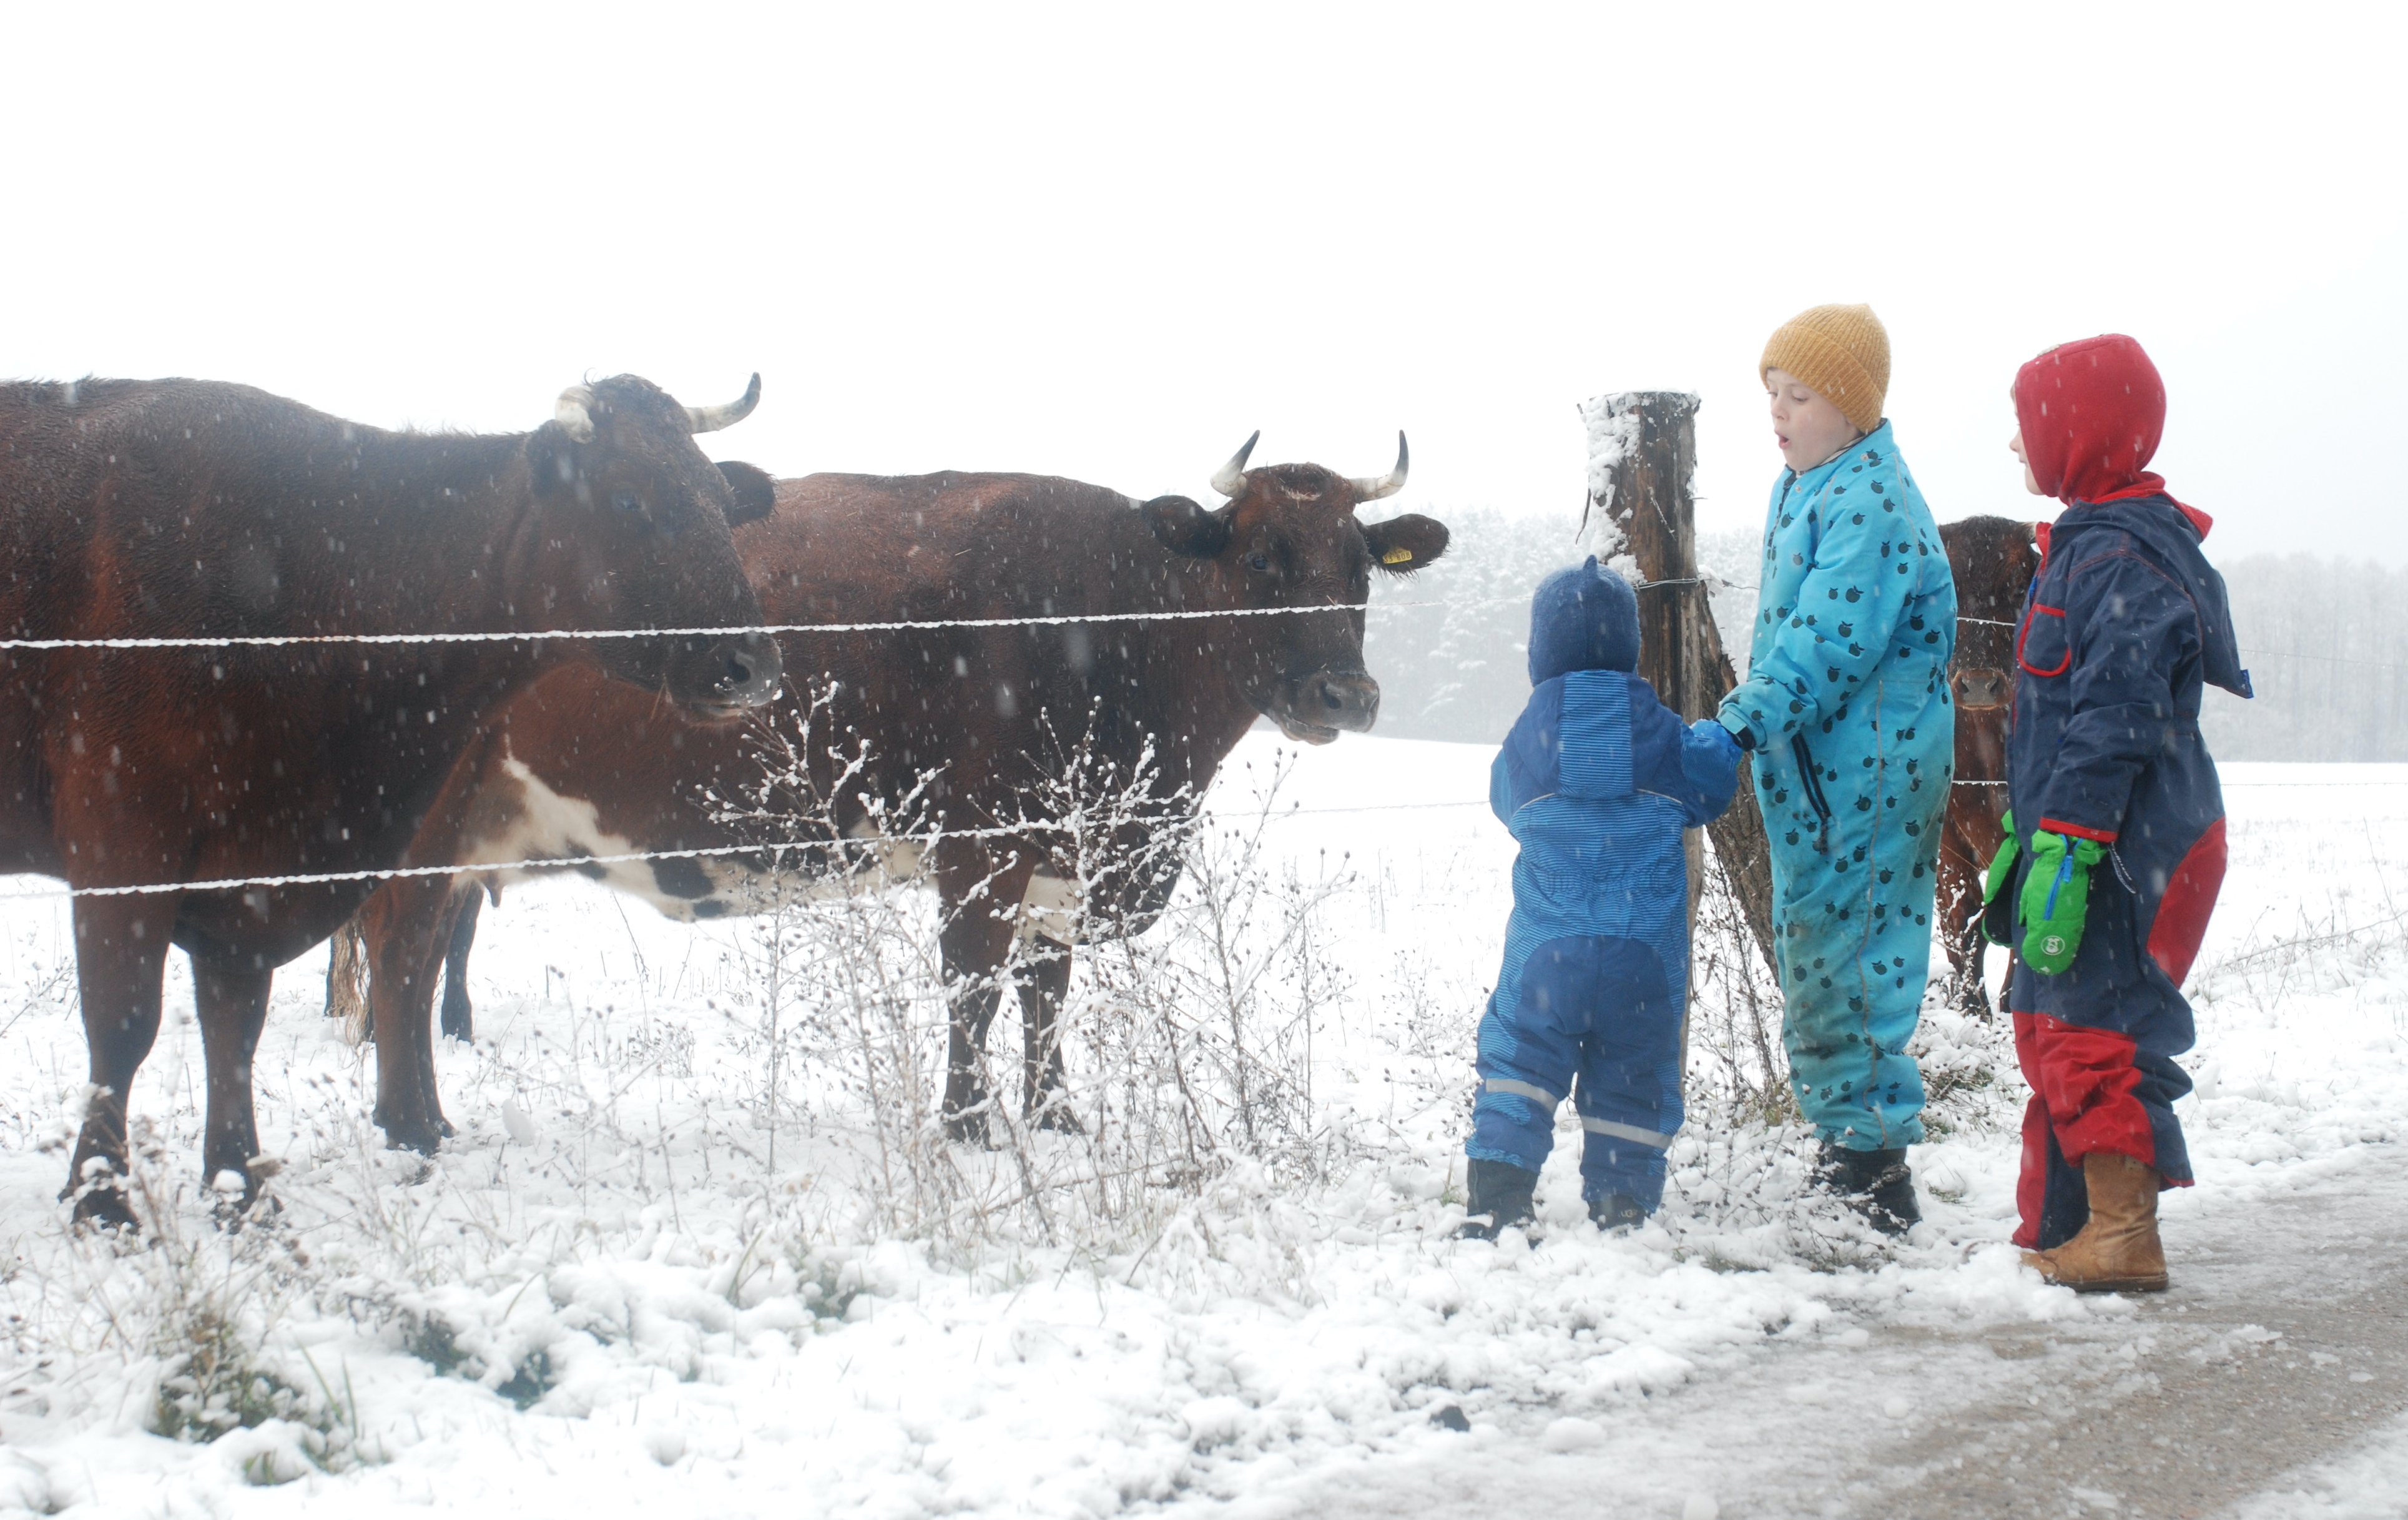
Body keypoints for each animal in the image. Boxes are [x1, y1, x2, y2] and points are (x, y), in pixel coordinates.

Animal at [0, 375, 780, 1218]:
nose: (752, 664)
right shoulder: (122, 845)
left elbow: (236, 1025)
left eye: (717, 499)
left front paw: (240, 1187)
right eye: (630, 498)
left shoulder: (256, 875)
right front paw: (100, 1199)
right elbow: (124, 1026)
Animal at [339, 433, 1445, 1147]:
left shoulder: (1058, 861)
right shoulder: (982, 847)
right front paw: (970, 1128)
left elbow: (1046, 995)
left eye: (1360, 565)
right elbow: (975, 989)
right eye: (1260, 555)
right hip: (425, 829)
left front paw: (1056, 1117)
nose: (1345, 693)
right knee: (403, 952)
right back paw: (414, 1128)